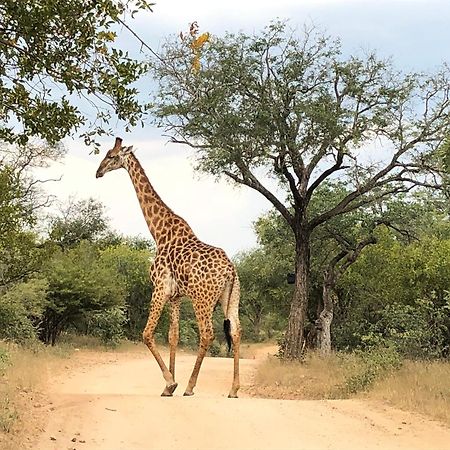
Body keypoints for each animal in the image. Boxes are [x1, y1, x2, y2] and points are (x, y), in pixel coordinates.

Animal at [96, 137, 243, 398]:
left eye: (112, 156)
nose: (98, 172)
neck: (159, 232)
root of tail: (230, 270)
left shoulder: (159, 288)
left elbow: (146, 334)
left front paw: (170, 383)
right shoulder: (175, 296)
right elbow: (173, 336)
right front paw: (169, 385)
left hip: (202, 299)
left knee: (207, 333)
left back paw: (190, 387)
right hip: (231, 296)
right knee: (235, 331)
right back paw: (234, 389)